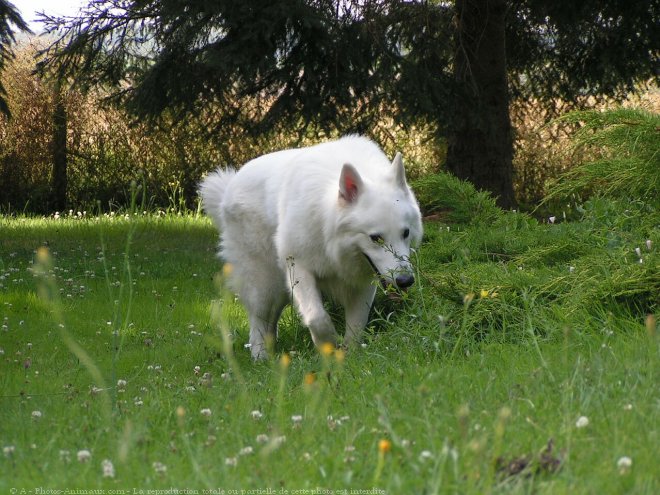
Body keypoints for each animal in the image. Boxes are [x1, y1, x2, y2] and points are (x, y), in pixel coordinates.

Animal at [199, 137, 422, 360]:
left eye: (405, 233)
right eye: (376, 238)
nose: (406, 281)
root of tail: (229, 187)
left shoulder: (363, 281)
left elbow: (357, 323)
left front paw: (349, 356)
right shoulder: (299, 268)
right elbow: (317, 318)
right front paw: (328, 344)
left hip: (280, 289)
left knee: (271, 319)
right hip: (263, 284)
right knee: (258, 320)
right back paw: (260, 356)